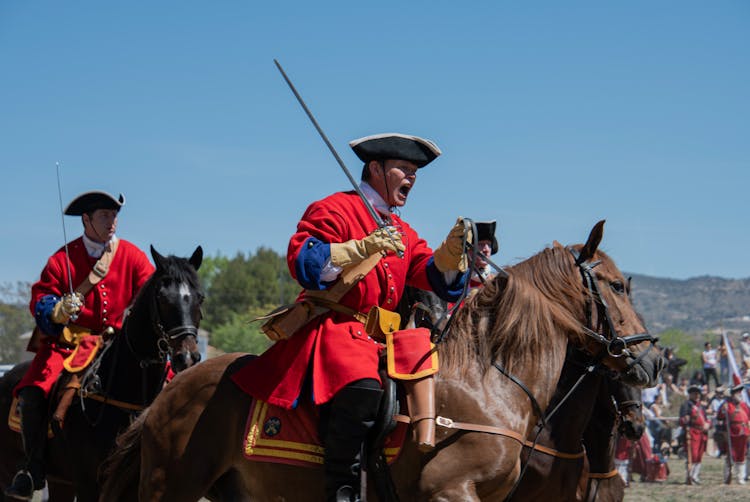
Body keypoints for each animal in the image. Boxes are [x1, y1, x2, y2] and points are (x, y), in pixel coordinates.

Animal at [98, 222, 664, 500]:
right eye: (616, 285)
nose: (653, 360)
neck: (489, 387)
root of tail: (171, 390)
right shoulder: (449, 493)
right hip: (169, 486)